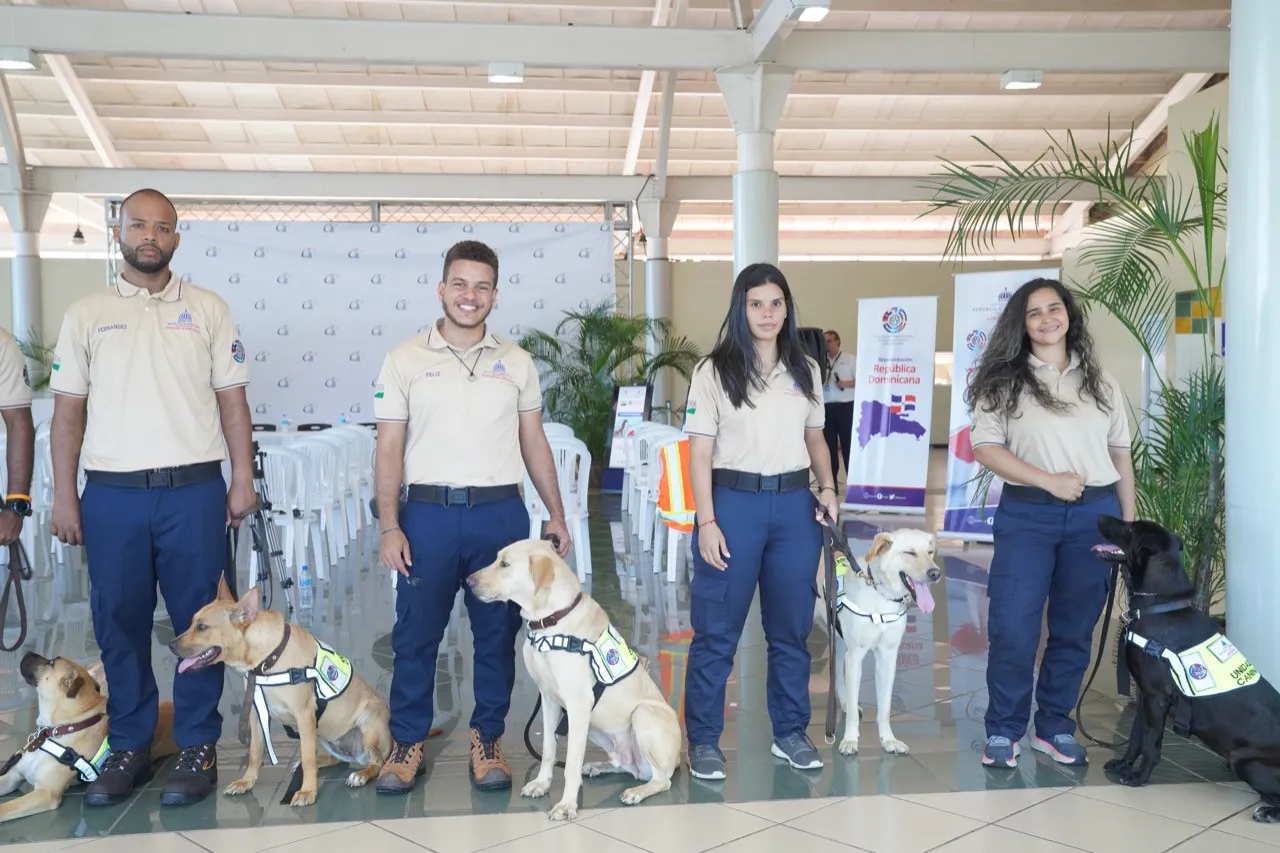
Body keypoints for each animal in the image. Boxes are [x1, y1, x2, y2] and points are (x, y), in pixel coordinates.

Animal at [0, 648, 177, 819]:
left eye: (51, 662)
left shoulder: (46, 793)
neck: (63, 727)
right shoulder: (13, 776)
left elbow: (5, 808)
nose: (28, 651)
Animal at [170, 578, 389, 804]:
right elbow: (255, 753)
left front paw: (307, 791)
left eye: (202, 627)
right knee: (333, 759)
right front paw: (246, 781)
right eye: (192, 623)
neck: (267, 660)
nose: (171, 645)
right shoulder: (256, 713)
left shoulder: (304, 713)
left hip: (368, 726)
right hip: (324, 735)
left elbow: (308, 757)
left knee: (377, 762)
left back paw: (361, 775)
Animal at [468, 535, 686, 819]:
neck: (549, 620)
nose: (468, 581)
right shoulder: (549, 700)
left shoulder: (578, 703)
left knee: (661, 779)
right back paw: (599, 766)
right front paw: (541, 783)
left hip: (642, 714)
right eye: (496, 559)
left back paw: (638, 791)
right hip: (596, 729)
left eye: (504, 564)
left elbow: (571, 762)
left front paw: (566, 805)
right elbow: (548, 748)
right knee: (627, 766)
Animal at [814, 527, 947, 753]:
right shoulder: (856, 657)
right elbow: (854, 705)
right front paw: (850, 740)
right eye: (910, 553)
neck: (882, 595)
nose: (935, 573)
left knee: (838, 674)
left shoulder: (887, 657)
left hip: (839, 642)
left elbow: (884, 706)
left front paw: (889, 740)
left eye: (930, 552)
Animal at [1095, 514, 1280, 819]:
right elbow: (1135, 738)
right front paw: (1123, 765)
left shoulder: (1156, 698)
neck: (1158, 605)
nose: (1098, 516)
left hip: (1243, 759)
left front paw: (1139, 777)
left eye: (1130, 527)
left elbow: (1150, 743)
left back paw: (1267, 812)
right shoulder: (1145, 697)